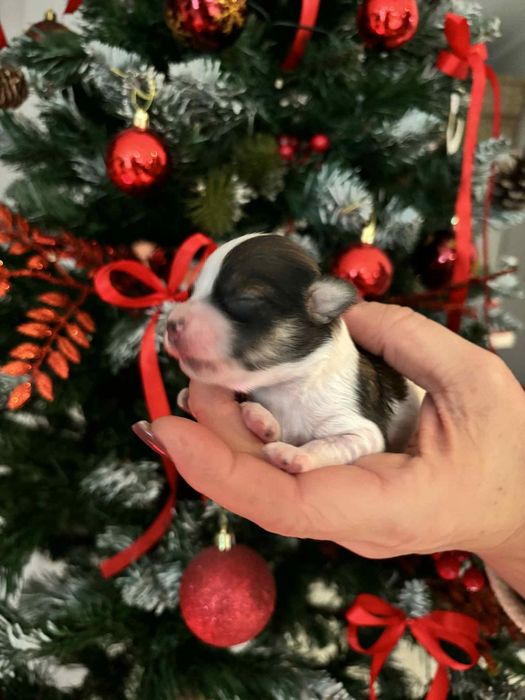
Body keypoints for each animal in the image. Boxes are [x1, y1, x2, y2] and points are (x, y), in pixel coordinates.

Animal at [164, 233, 421, 473]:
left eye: (245, 299)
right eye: (190, 293)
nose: (170, 324)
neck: (284, 387)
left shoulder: (364, 432)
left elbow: (328, 444)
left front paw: (293, 454)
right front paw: (262, 419)